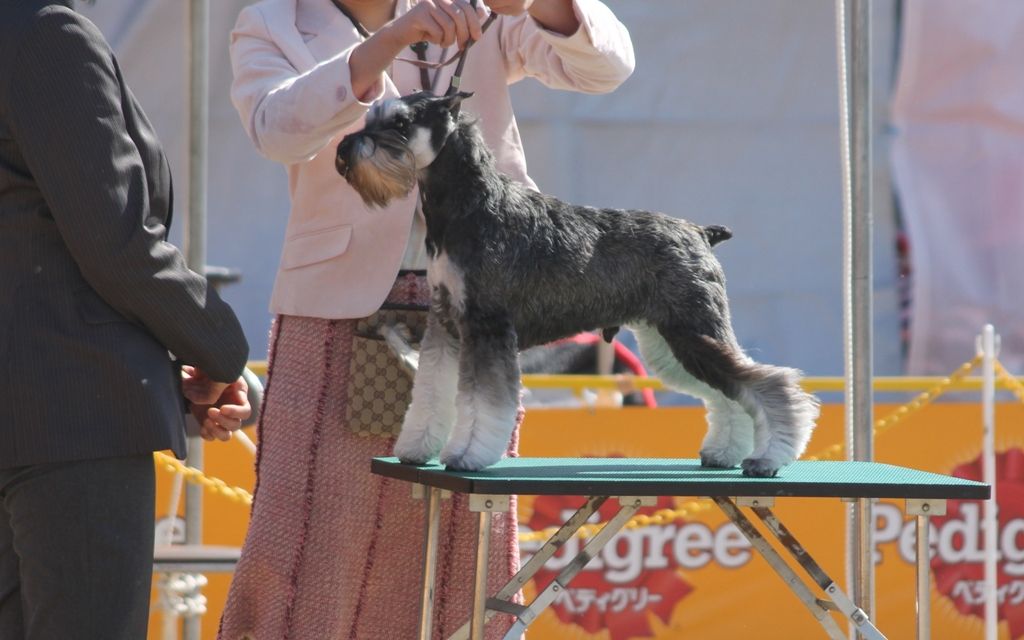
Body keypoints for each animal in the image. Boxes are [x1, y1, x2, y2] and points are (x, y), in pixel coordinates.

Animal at [335, 91, 815, 475]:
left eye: (400, 123)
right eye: (371, 116)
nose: (342, 152)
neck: (470, 204)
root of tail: (699, 232)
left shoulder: (487, 327)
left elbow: (481, 401)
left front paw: (467, 454)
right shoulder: (445, 322)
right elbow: (433, 389)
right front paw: (417, 448)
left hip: (693, 332)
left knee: (767, 382)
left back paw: (768, 458)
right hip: (671, 342)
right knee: (728, 393)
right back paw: (724, 453)